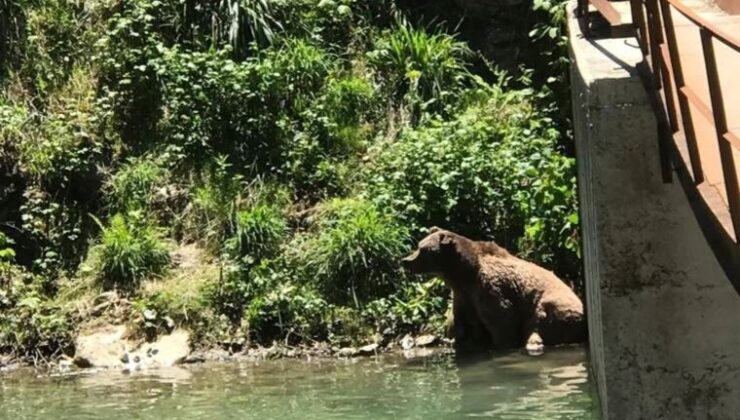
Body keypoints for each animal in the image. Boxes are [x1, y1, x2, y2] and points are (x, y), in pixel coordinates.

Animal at [402, 228, 588, 352]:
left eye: (423, 249)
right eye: (419, 245)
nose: (405, 261)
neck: (464, 273)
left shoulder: (491, 288)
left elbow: (501, 320)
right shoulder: (463, 295)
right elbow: (463, 324)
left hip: (555, 306)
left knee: (538, 322)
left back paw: (533, 342)